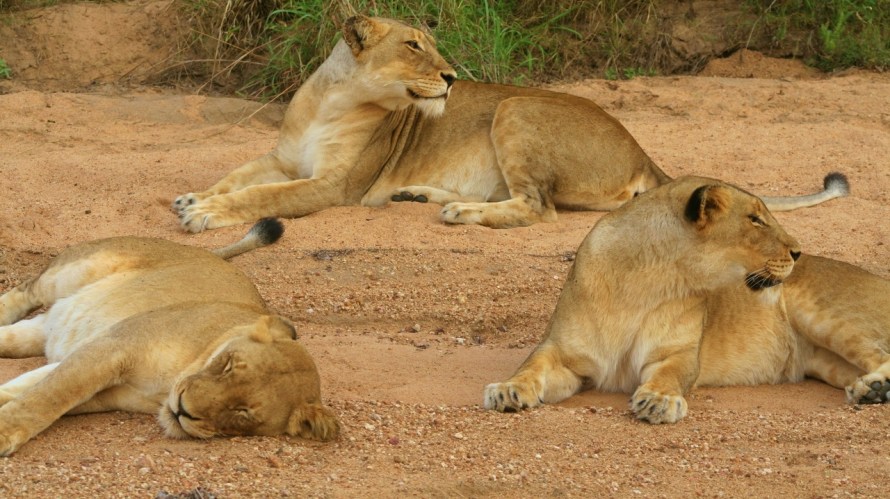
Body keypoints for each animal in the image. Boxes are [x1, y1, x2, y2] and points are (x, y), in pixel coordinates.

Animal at [0, 219, 339, 456]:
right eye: (228, 364)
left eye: (242, 412)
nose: (182, 409)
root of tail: (202, 250)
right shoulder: (113, 346)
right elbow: (47, 399)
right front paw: (5, 433)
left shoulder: (102, 384)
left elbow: (29, 391)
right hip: (73, 272)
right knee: (27, 290)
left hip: (48, 327)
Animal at [172, 15, 848, 232]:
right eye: (414, 46)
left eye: (432, 45)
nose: (451, 77)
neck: (335, 98)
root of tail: (642, 150)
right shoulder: (283, 158)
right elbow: (239, 176)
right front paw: (193, 196)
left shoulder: (333, 185)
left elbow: (262, 196)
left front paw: (204, 213)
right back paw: (425, 195)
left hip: (515, 108)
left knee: (536, 208)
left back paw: (461, 212)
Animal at [483, 176, 888, 423]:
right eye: (756, 219)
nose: (798, 252)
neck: (649, 280)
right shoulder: (564, 353)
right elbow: (531, 365)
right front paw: (507, 390)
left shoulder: (676, 353)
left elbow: (671, 374)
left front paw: (659, 400)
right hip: (825, 361)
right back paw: (872, 391)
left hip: (821, 313)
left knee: (881, 353)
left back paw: (872, 389)